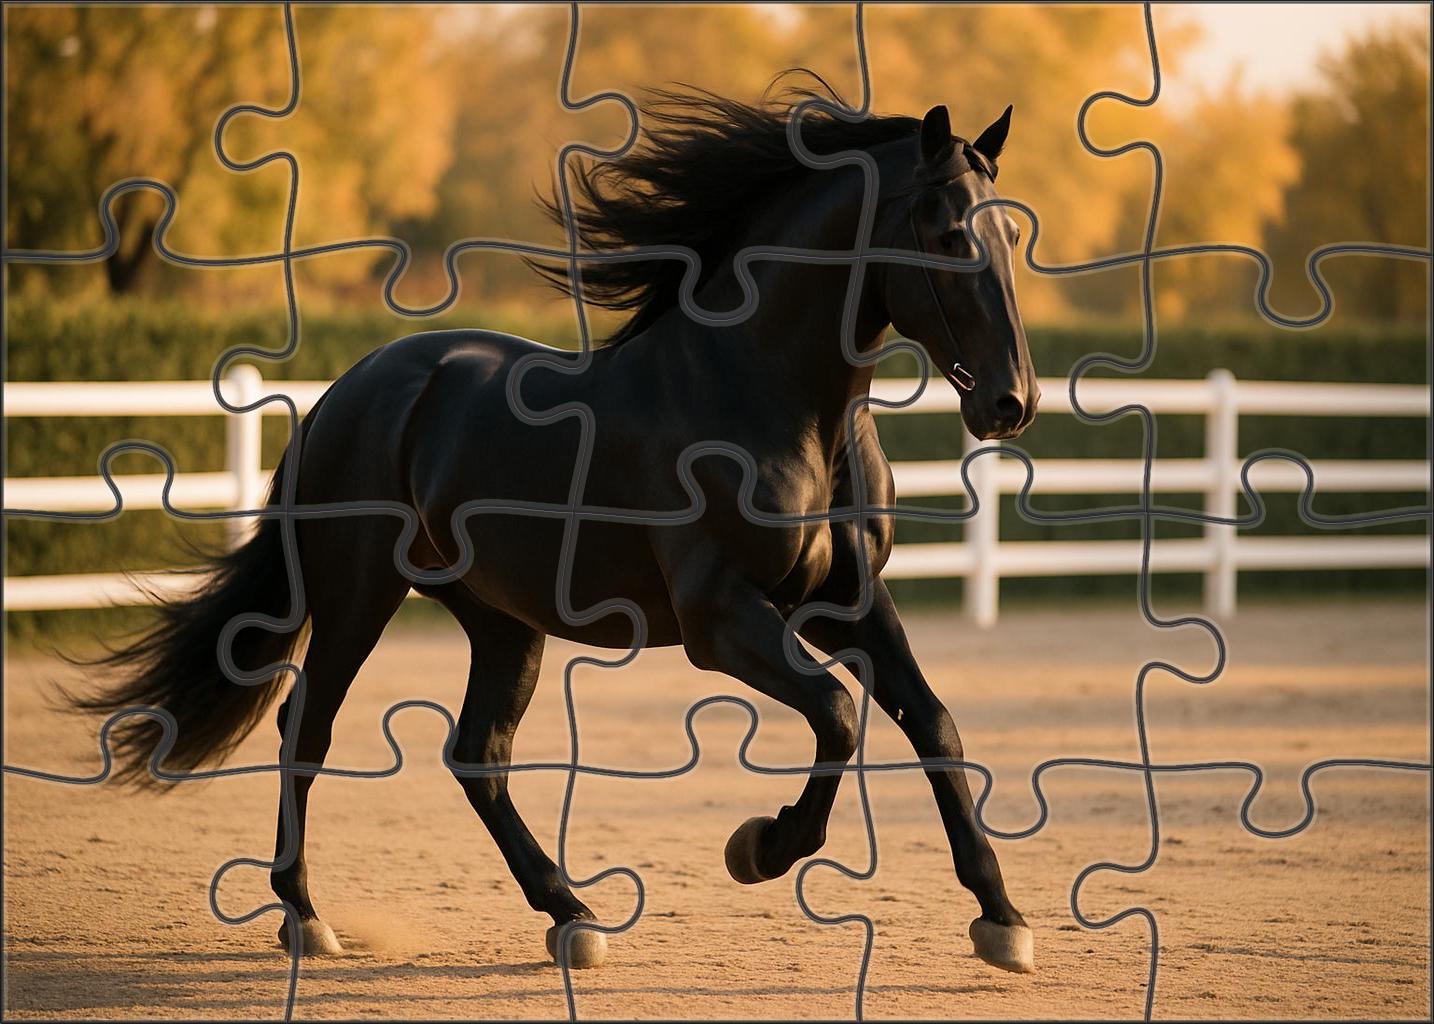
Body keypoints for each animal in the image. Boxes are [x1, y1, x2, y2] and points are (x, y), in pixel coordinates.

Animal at [77, 81, 1040, 974]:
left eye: (1009, 237)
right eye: (947, 236)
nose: (1012, 403)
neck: (768, 395)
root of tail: (346, 392)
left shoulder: (848, 603)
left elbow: (934, 725)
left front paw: (1003, 920)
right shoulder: (721, 619)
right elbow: (840, 715)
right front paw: (760, 848)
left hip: (504, 621)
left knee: (477, 754)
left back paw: (571, 916)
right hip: (357, 599)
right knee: (305, 731)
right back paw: (308, 918)